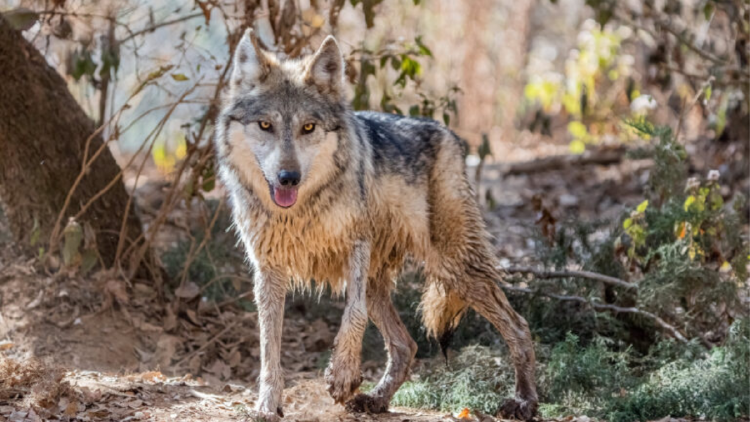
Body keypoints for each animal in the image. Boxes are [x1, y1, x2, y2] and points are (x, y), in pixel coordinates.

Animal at [214, 29, 538, 421]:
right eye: (266, 125)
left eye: (308, 127)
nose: (288, 178)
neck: (302, 210)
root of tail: (449, 133)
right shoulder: (269, 269)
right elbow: (269, 347)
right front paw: (267, 404)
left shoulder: (357, 243)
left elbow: (352, 315)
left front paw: (342, 375)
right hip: (383, 282)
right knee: (407, 344)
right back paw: (376, 399)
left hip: (454, 268)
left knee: (519, 326)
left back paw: (524, 401)